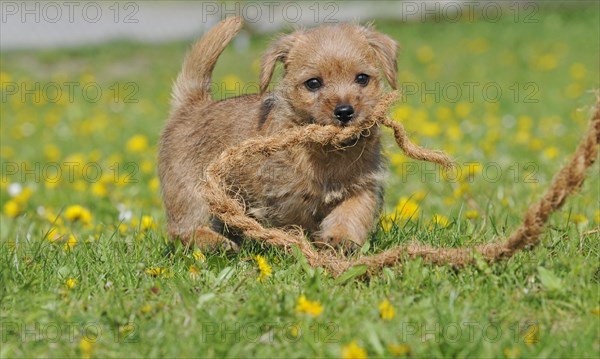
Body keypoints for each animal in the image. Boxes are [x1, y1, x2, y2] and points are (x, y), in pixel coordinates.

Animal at [158, 17, 398, 253]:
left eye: (362, 78)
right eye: (313, 83)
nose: (345, 111)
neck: (329, 151)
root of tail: (193, 104)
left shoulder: (363, 184)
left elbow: (352, 213)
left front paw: (341, 240)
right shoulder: (285, 197)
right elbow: (297, 223)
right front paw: (299, 245)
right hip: (191, 191)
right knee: (183, 230)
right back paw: (215, 243)